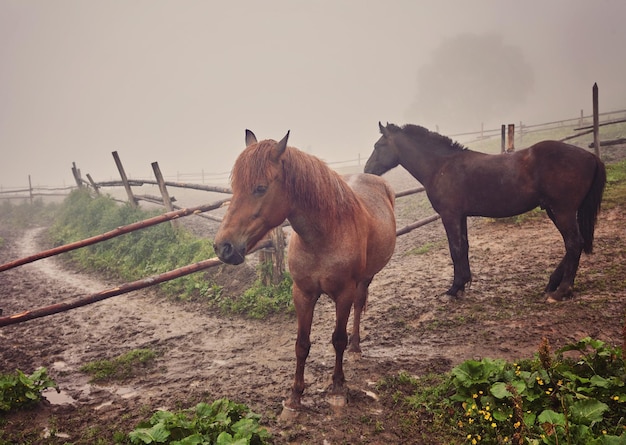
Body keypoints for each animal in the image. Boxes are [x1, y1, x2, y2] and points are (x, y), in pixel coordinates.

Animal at [214, 129, 394, 410]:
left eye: (260, 188)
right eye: (235, 188)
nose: (223, 247)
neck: (325, 236)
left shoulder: (343, 294)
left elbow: (337, 339)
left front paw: (338, 387)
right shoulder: (302, 294)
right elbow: (301, 344)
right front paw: (294, 397)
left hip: (365, 279)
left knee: (358, 305)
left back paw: (355, 347)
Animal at [364, 121, 604, 302]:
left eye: (378, 145)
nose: (367, 170)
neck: (441, 166)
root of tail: (590, 156)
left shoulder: (450, 215)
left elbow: (455, 249)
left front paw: (453, 289)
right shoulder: (460, 216)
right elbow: (464, 247)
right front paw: (462, 285)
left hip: (562, 211)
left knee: (574, 243)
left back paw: (561, 290)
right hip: (555, 211)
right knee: (575, 244)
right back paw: (553, 283)